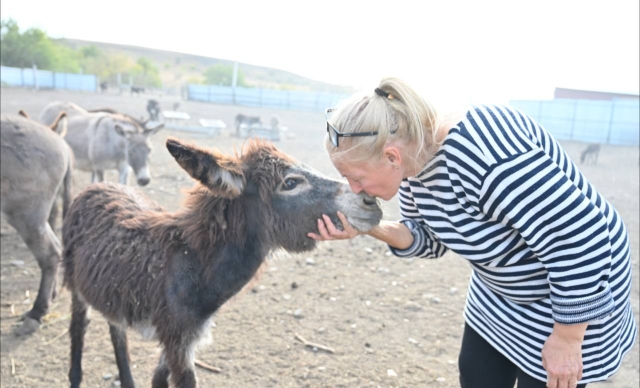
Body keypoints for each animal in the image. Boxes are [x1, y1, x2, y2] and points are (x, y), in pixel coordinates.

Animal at [61, 138, 380, 386]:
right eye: (290, 182)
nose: (371, 202)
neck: (195, 263)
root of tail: (99, 185)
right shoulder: (178, 342)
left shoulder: (181, 337)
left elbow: (158, 379)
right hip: (76, 286)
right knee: (78, 328)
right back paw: (75, 377)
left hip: (113, 294)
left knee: (117, 331)